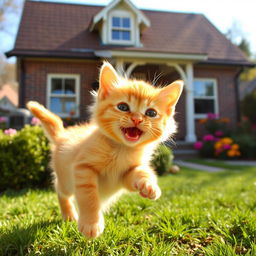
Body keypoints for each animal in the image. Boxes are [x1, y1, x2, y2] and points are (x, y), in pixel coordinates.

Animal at [26, 62, 184, 238]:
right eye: (123, 107)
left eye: (151, 113)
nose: (137, 119)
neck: (122, 149)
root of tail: (63, 135)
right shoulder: (83, 168)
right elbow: (89, 197)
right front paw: (91, 224)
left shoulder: (126, 175)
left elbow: (140, 172)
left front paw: (149, 185)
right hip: (66, 180)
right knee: (60, 190)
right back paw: (69, 214)